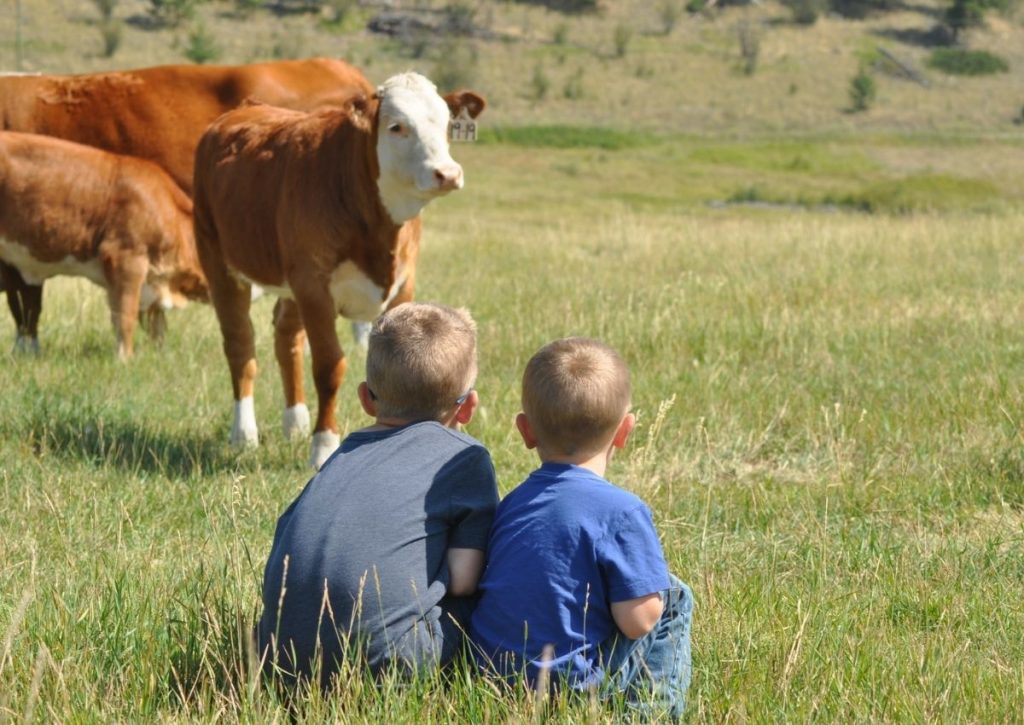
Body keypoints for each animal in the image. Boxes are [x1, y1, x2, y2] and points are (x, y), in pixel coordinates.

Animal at [193, 75, 485, 471]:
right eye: (396, 126)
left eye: (446, 124)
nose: (448, 173)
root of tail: (245, 108)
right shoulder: (314, 286)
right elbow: (329, 365)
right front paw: (324, 445)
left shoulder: (402, 287)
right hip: (220, 262)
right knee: (240, 345)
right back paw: (244, 433)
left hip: (290, 282)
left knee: (286, 338)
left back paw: (295, 421)